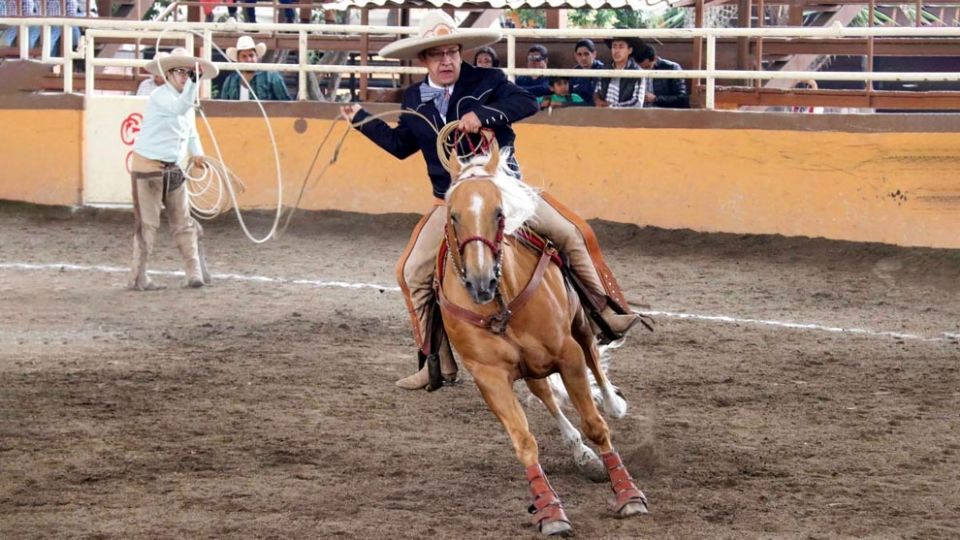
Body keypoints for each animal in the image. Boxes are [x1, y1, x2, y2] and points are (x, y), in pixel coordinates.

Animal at [438, 143, 648, 536]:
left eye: (499, 212)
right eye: (454, 215)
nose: (480, 282)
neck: (501, 301)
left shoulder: (567, 355)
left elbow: (596, 424)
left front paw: (628, 494)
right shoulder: (490, 377)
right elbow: (524, 442)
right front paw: (550, 511)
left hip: (579, 324)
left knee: (594, 360)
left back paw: (612, 403)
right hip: (530, 366)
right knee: (547, 396)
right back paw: (579, 452)